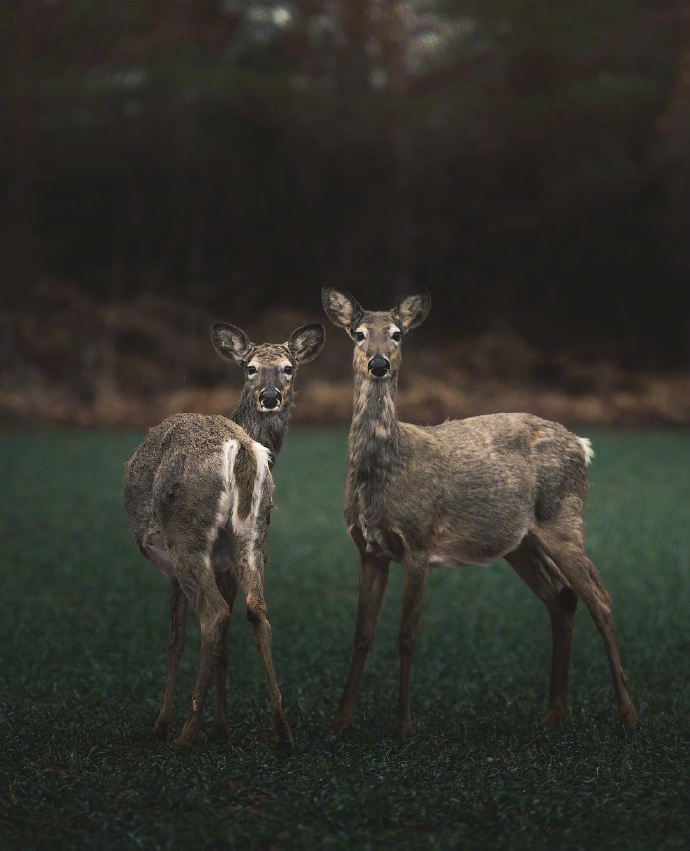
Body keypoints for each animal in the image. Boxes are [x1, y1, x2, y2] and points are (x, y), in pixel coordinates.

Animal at [123, 320, 326, 744]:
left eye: (288, 368)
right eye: (250, 368)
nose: (270, 396)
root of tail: (242, 450)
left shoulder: (170, 561)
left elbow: (176, 637)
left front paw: (163, 724)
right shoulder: (228, 562)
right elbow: (230, 639)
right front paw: (222, 727)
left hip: (185, 533)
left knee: (213, 616)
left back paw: (185, 734)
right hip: (253, 536)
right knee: (257, 612)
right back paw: (282, 732)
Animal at [320, 284, 636, 740]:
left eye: (397, 334)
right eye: (358, 334)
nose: (379, 364)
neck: (385, 471)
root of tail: (583, 444)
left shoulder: (419, 541)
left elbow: (406, 636)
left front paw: (403, 726)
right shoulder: (368, 549)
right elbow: (362, 634)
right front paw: (340, 721)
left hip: (564, 518)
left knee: (600, 597)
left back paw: (628, 714)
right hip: (521, 541)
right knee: (562, 597)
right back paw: (553, 714)